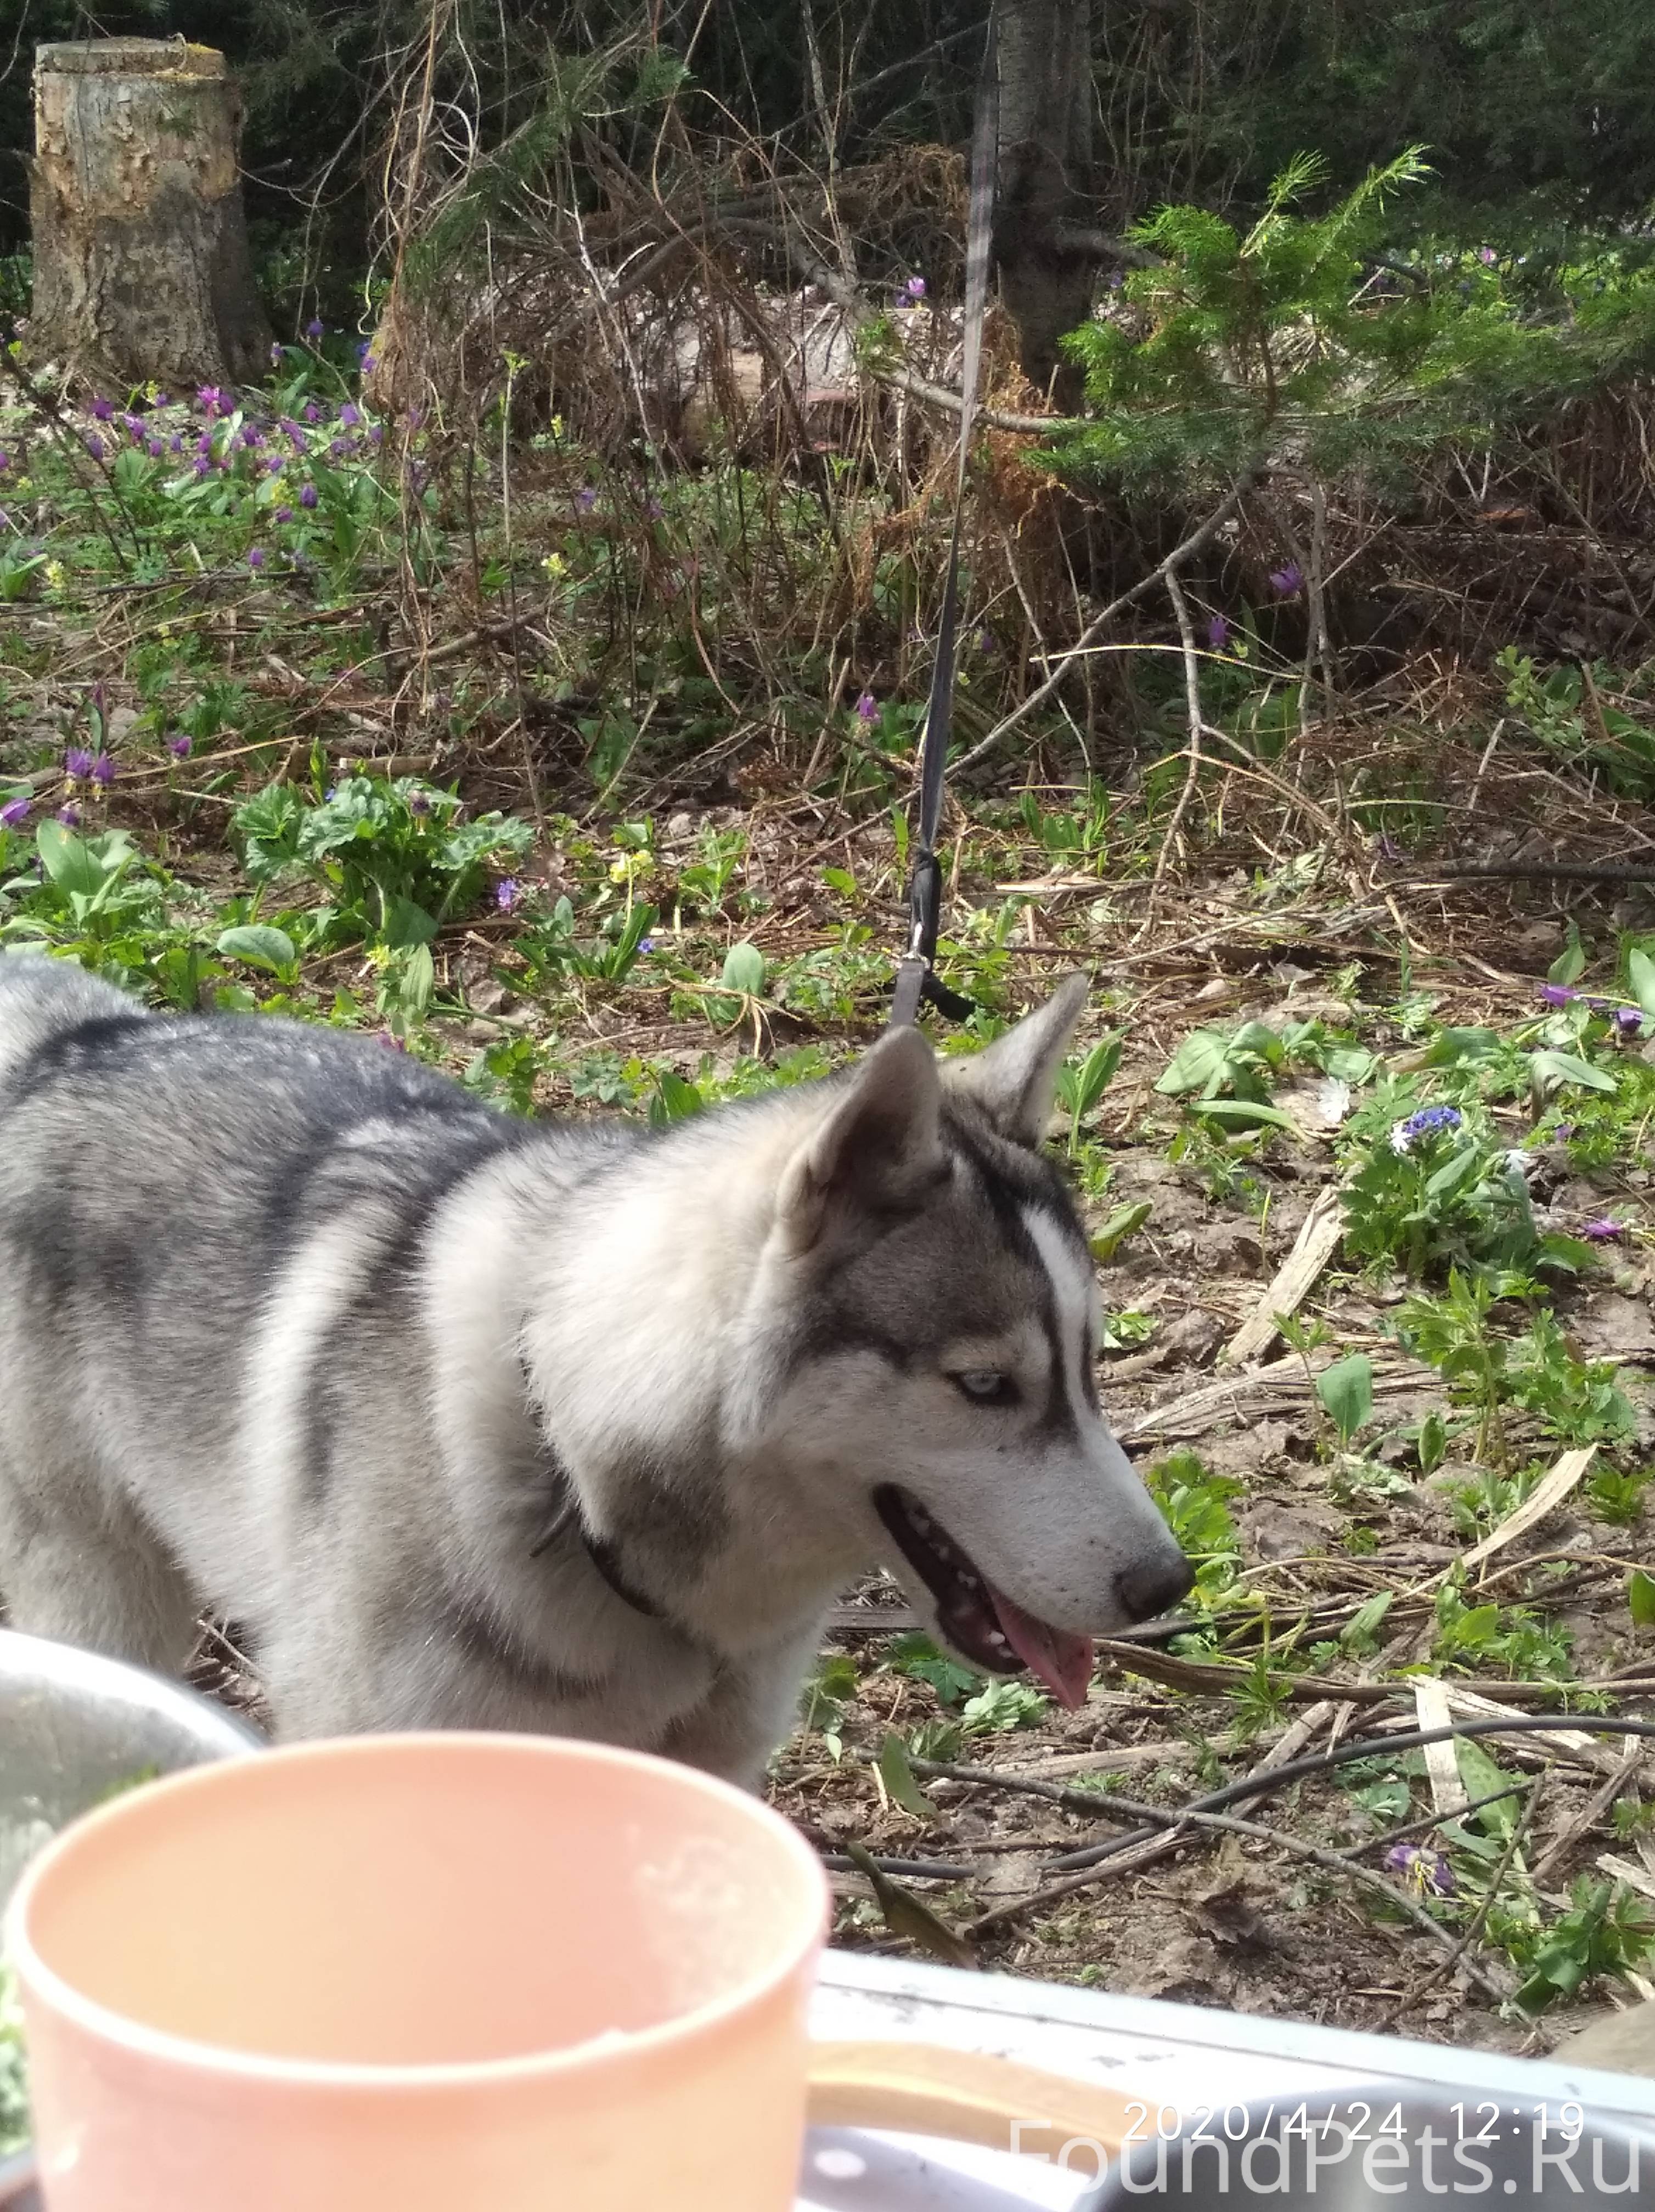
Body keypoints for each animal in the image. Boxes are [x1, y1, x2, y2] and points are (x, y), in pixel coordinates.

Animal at [0, 960, 1186, 1787]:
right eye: (985, 1387)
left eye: (1087, 1370)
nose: (1166, 1586)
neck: (568, 1463)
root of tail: (73, 1045)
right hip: (105, 1605)